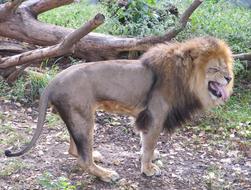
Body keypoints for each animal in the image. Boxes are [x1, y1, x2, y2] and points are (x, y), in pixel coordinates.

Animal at [4, 36, 234, 182]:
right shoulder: (155, 116)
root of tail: (53, 81)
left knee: (73, 150)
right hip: (83, 117)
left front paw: (149, 159)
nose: (229, 78)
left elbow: (145, 144)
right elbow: (149, 145)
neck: (186, 79)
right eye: (214, 68)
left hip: (78, 115)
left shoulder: (145, 117)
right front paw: (148, 169)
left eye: (225, 67)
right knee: (82, 159)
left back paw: (96, 156)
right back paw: (106, 175)